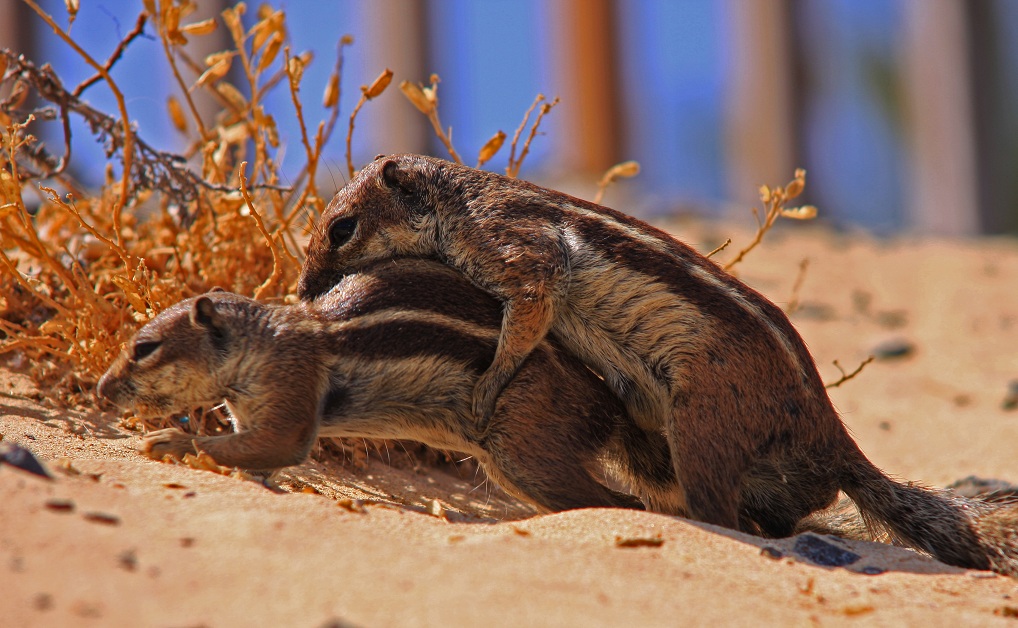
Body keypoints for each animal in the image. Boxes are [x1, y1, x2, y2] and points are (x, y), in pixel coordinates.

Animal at [97, 257, 684, 510]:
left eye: (144, 348)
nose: (102, 391)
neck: (265, 341)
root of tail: (609, 405)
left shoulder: (291, 391)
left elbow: (275, 446)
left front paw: (170, 441)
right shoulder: (250, 416)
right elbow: (254, 457)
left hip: (526, 451)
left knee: (619, 503)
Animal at [295, 151, 1018, 574]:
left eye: (341, 227)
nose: (302, 291)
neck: (460, 200)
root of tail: (829, 430)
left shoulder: (517, 254)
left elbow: (524, 319)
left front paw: (492, 380)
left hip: (701, 424)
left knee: (730, 516)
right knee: (782, 514)